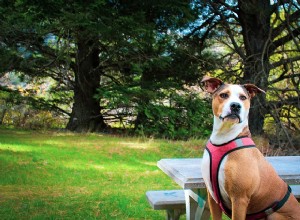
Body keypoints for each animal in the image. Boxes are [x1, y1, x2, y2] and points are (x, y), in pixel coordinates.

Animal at [199, 76, 300, 220]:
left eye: (243, 97)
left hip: (274, 215)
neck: (224, 138)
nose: (236, 105)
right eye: (223, 95)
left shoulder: (239, 199)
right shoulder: (212, 196)